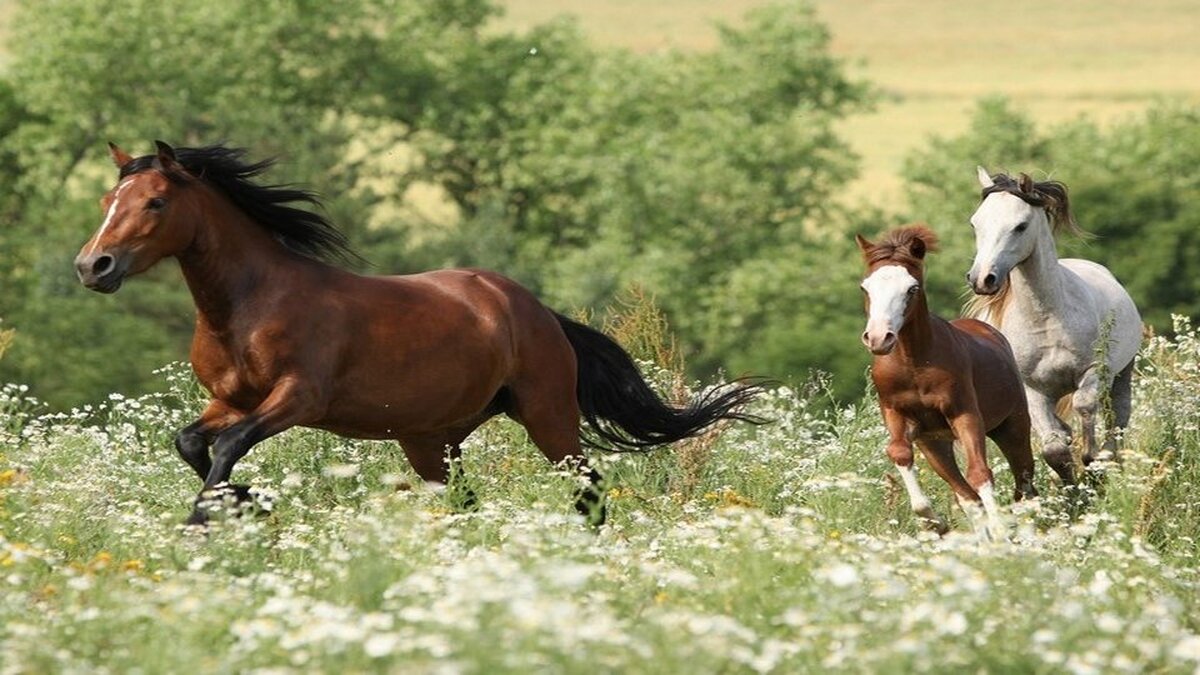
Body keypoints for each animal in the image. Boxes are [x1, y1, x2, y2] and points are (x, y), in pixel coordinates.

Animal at [75, 142, 763, 526]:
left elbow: (226, 448)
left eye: (156, 201)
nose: (93, 267)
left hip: (547, 415)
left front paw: (208, 518)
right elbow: (192, 442)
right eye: (109, 200)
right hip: (433, 439)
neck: (247, 306)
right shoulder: (229, 400)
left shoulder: (298, 398)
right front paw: (246, 501)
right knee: (466, 499)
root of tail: (535, 310)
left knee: (588, 488)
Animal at [854, 225, 1041, 535]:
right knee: (967, 495)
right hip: (936, 445)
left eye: (911, 288)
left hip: (1012, 425)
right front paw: (935, 523)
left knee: (1024, 483)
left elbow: (980, 473)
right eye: (865, 287)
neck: (914, 365)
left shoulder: (965, 414)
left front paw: (1000, 532)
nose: (879, 338)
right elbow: (900, 453)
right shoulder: (897, 414)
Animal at [960, 168, 1137, 482]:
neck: (1045, 321)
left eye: (1020, 226)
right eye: (975, 223)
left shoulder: (1095, 370)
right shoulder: (1033, 390)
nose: (982, 279)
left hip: (1122, 373)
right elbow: (1055, 450)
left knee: (1118, 418)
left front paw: (1092, 461)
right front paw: (1074, 490)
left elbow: (1084, 405)